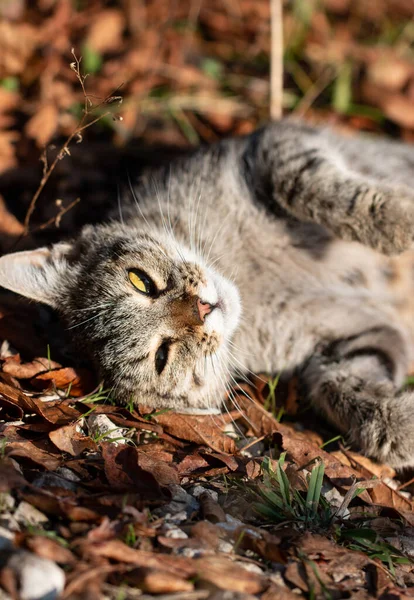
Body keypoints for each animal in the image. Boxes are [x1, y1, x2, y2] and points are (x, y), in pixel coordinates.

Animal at [0, 120, 414, 468]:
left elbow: (305, 185)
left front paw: (397, 221)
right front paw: (401, 427)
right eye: (162, 356)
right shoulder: (350, 338)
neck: (250, 280)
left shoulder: (270, 145)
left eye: (141, 282)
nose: (202, 309)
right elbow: (339, 385)